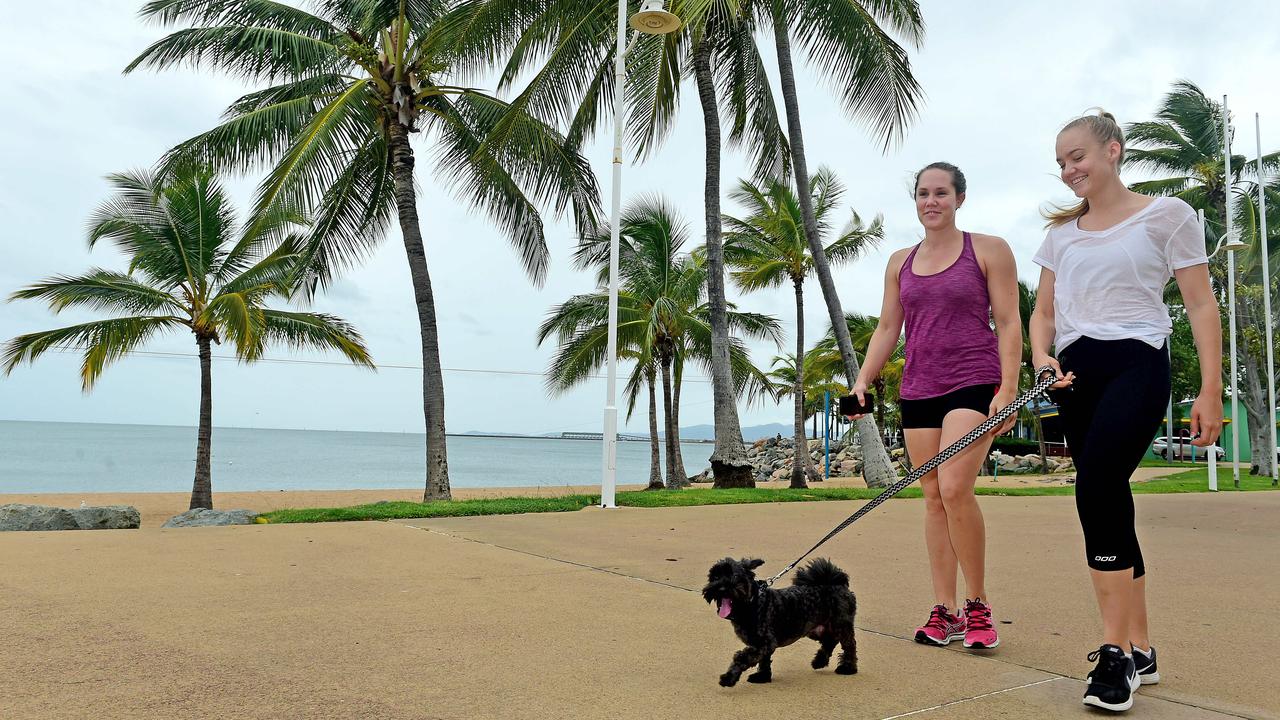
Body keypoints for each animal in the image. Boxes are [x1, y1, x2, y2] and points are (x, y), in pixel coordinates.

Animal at [706, 556, 855, 681]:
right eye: (715, 576)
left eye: (735, 576)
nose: (721, 588)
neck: (752, 604)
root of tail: (836, 583)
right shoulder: (764, 645)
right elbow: (764, 660)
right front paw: (762, 676)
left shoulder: (764, 642)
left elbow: (742, 658)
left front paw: (729, 677)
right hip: (815, 628)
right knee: (830, 641)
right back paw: (819, 662)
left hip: (841, 625)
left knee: (849, 645)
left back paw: (848, 668)